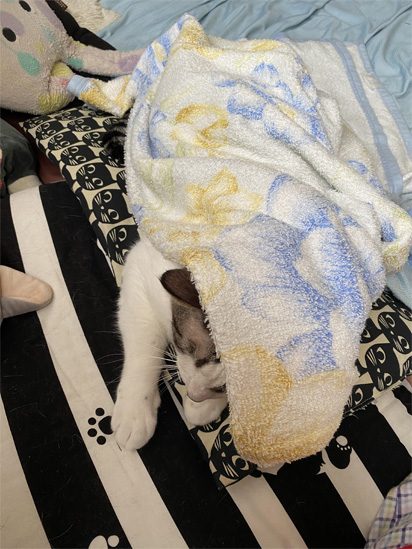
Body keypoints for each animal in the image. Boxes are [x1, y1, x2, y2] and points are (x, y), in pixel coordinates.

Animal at [111, 232, 227, 451]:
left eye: (223, 388)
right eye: (187, 346)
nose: (194, 395)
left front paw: (204, 406)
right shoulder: (141, 265)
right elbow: (145, 349)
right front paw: (134, 411)